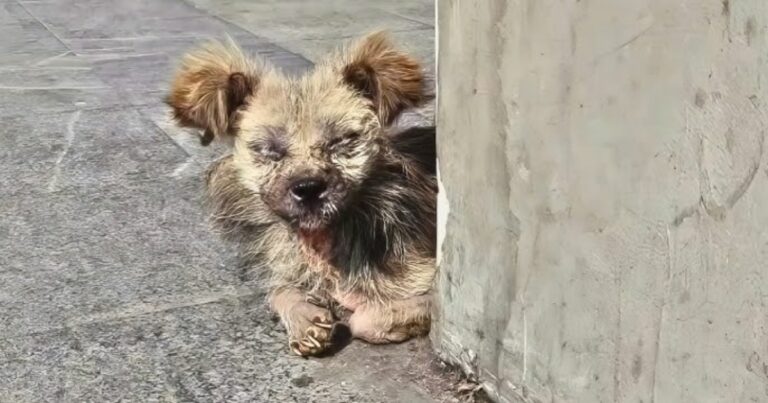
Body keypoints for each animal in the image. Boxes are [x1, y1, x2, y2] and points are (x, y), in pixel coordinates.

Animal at [164, 31, 436, 356]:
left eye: (340, 142)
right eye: (269, 150)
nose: (308, 189)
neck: (323, 243)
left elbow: (366, 318)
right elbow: (280, 290)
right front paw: (305, 319)